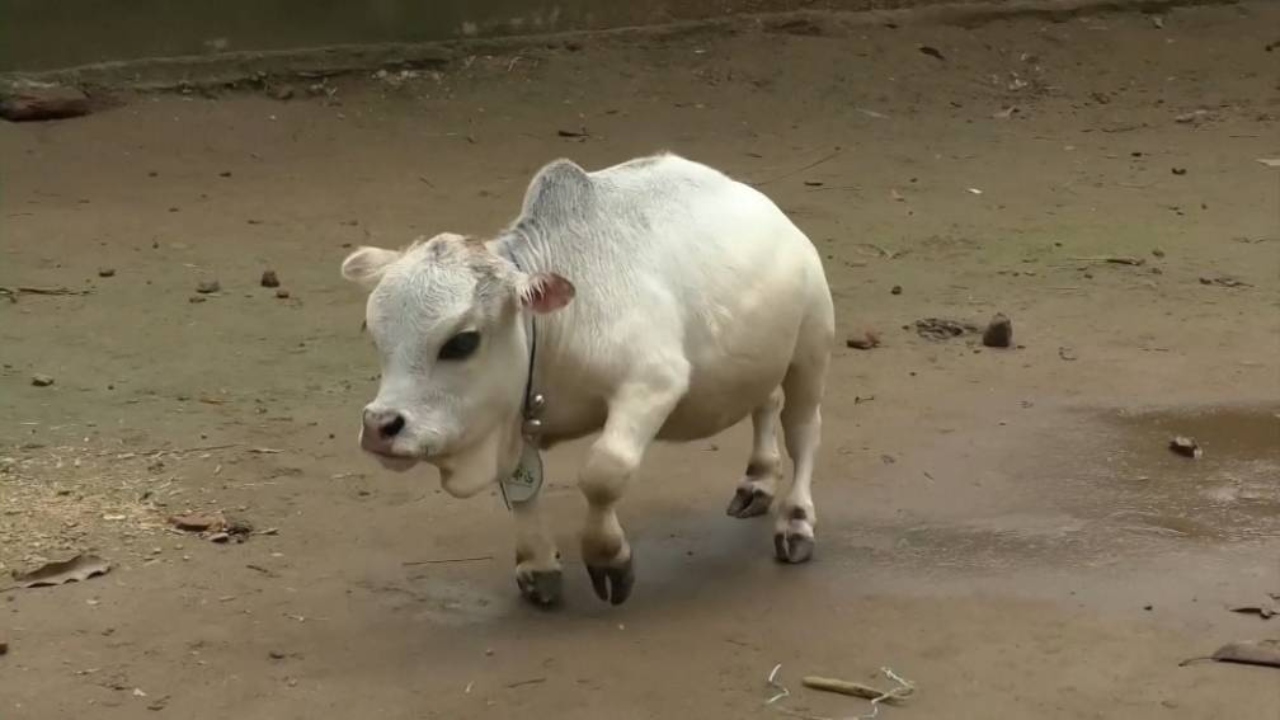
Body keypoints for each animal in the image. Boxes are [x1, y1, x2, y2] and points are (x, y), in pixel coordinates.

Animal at [340, 152, 835, 606]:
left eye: (461, 342)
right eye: (375, 333)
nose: (380, 427)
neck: (556, 327)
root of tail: (777, 216)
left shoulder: (653, 383)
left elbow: (603, 472)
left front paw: (607, 556)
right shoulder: (514, 417)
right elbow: (521, 490)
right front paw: (537, 562)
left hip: (810, 349)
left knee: (803, 431)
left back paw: (796, 520)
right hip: (762, 356)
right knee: (766, 403)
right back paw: (758, 480)